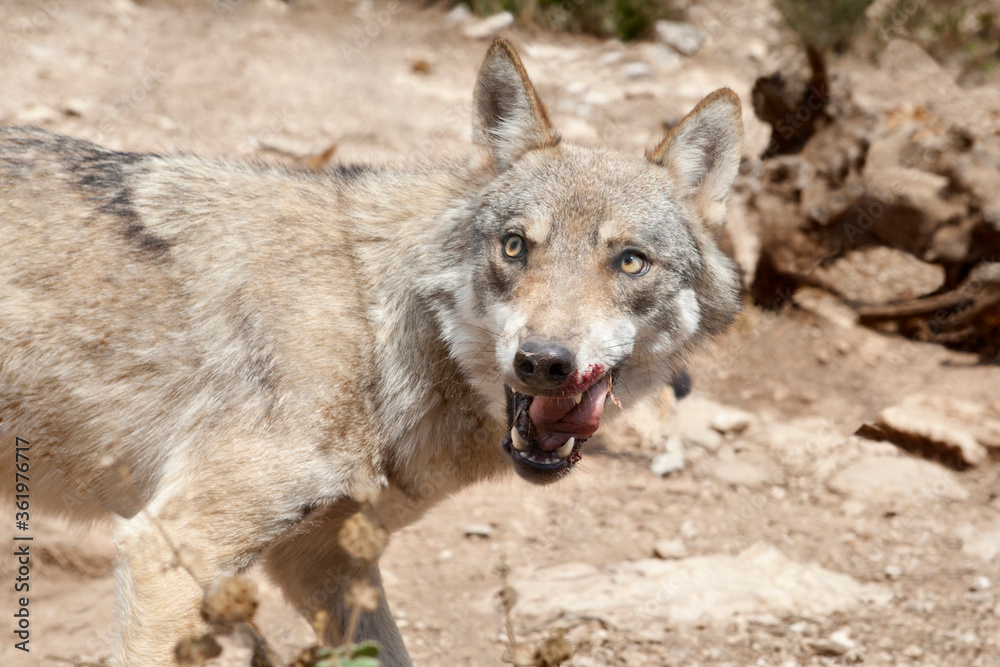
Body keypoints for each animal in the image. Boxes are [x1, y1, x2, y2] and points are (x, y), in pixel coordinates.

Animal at [0, 39, 742, 665]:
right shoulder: (170, 548)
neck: (375, 327)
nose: (542, 361)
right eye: (514, 246)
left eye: (630, 261)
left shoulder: (324, 563)